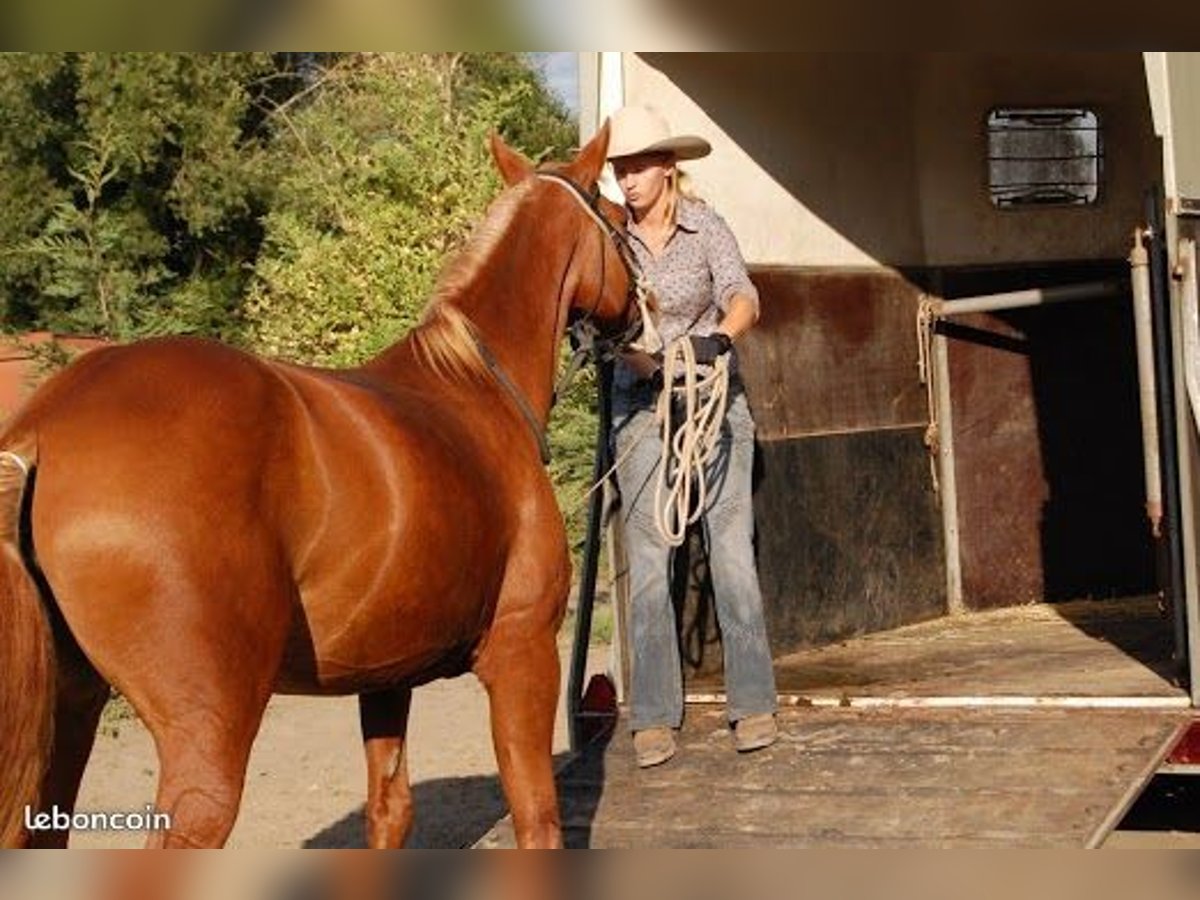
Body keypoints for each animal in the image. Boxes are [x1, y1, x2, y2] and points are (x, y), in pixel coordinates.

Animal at [0, 123, 643, 849]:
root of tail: (41, 429)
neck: (478, 389)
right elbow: (538, 818)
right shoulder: (521, 653)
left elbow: (390, 812)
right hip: (205, 743)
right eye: (620, 219)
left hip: (67, 720)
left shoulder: (387, 678)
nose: (643, 313)